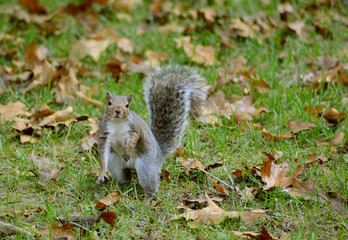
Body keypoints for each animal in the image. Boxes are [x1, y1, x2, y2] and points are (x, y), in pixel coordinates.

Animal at [96, 64, 207, 203]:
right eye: (109, 103)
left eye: (127, 105)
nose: (117, 111)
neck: (117, 123)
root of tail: (159, 153)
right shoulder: (104, 133)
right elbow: (102, 152)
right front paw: (102, 173)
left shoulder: (135, 129)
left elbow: (134, 139)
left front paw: (127, 151)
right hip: (115, 164)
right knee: (125, 177)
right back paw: (121, 187)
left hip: (145, 168)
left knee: (150, 187)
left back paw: (146, 200)